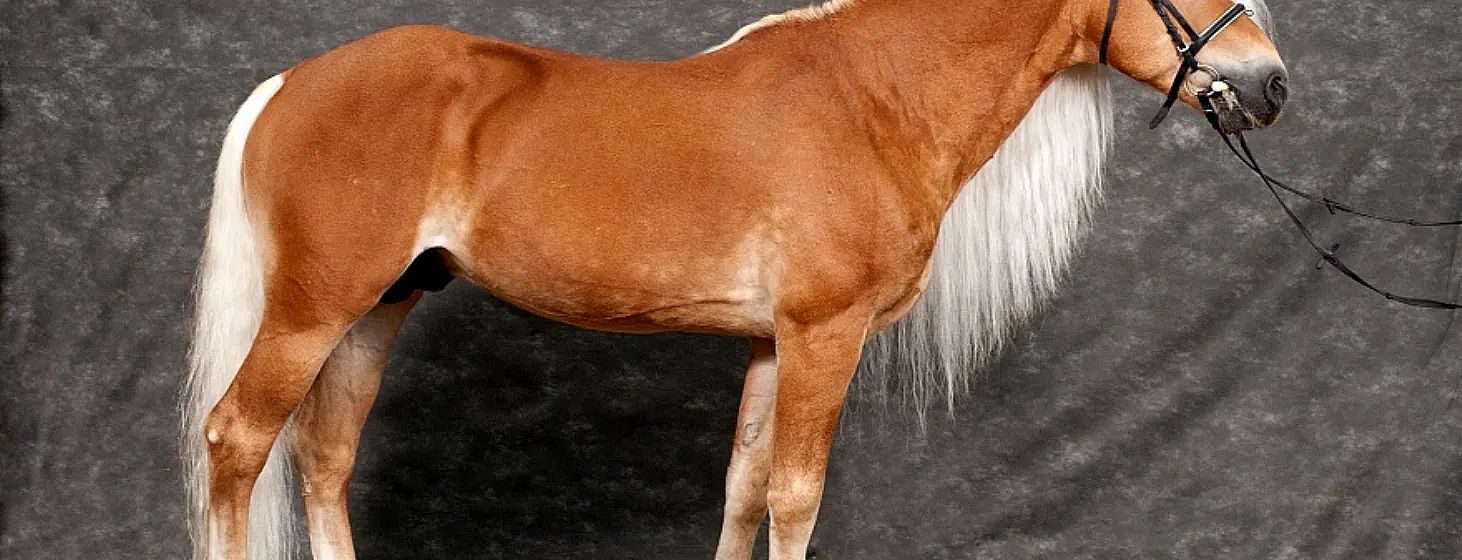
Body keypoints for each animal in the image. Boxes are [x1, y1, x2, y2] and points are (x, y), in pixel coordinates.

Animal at [180, 0, 1285, 558]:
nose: (1272, 85)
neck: (870, 96)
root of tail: (289, 83)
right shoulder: (822, 334)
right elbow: (796, 495)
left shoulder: (768, 343)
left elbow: (746, 490)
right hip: (310, 314)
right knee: (238, 442)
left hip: (378, 309)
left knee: (323, 460)